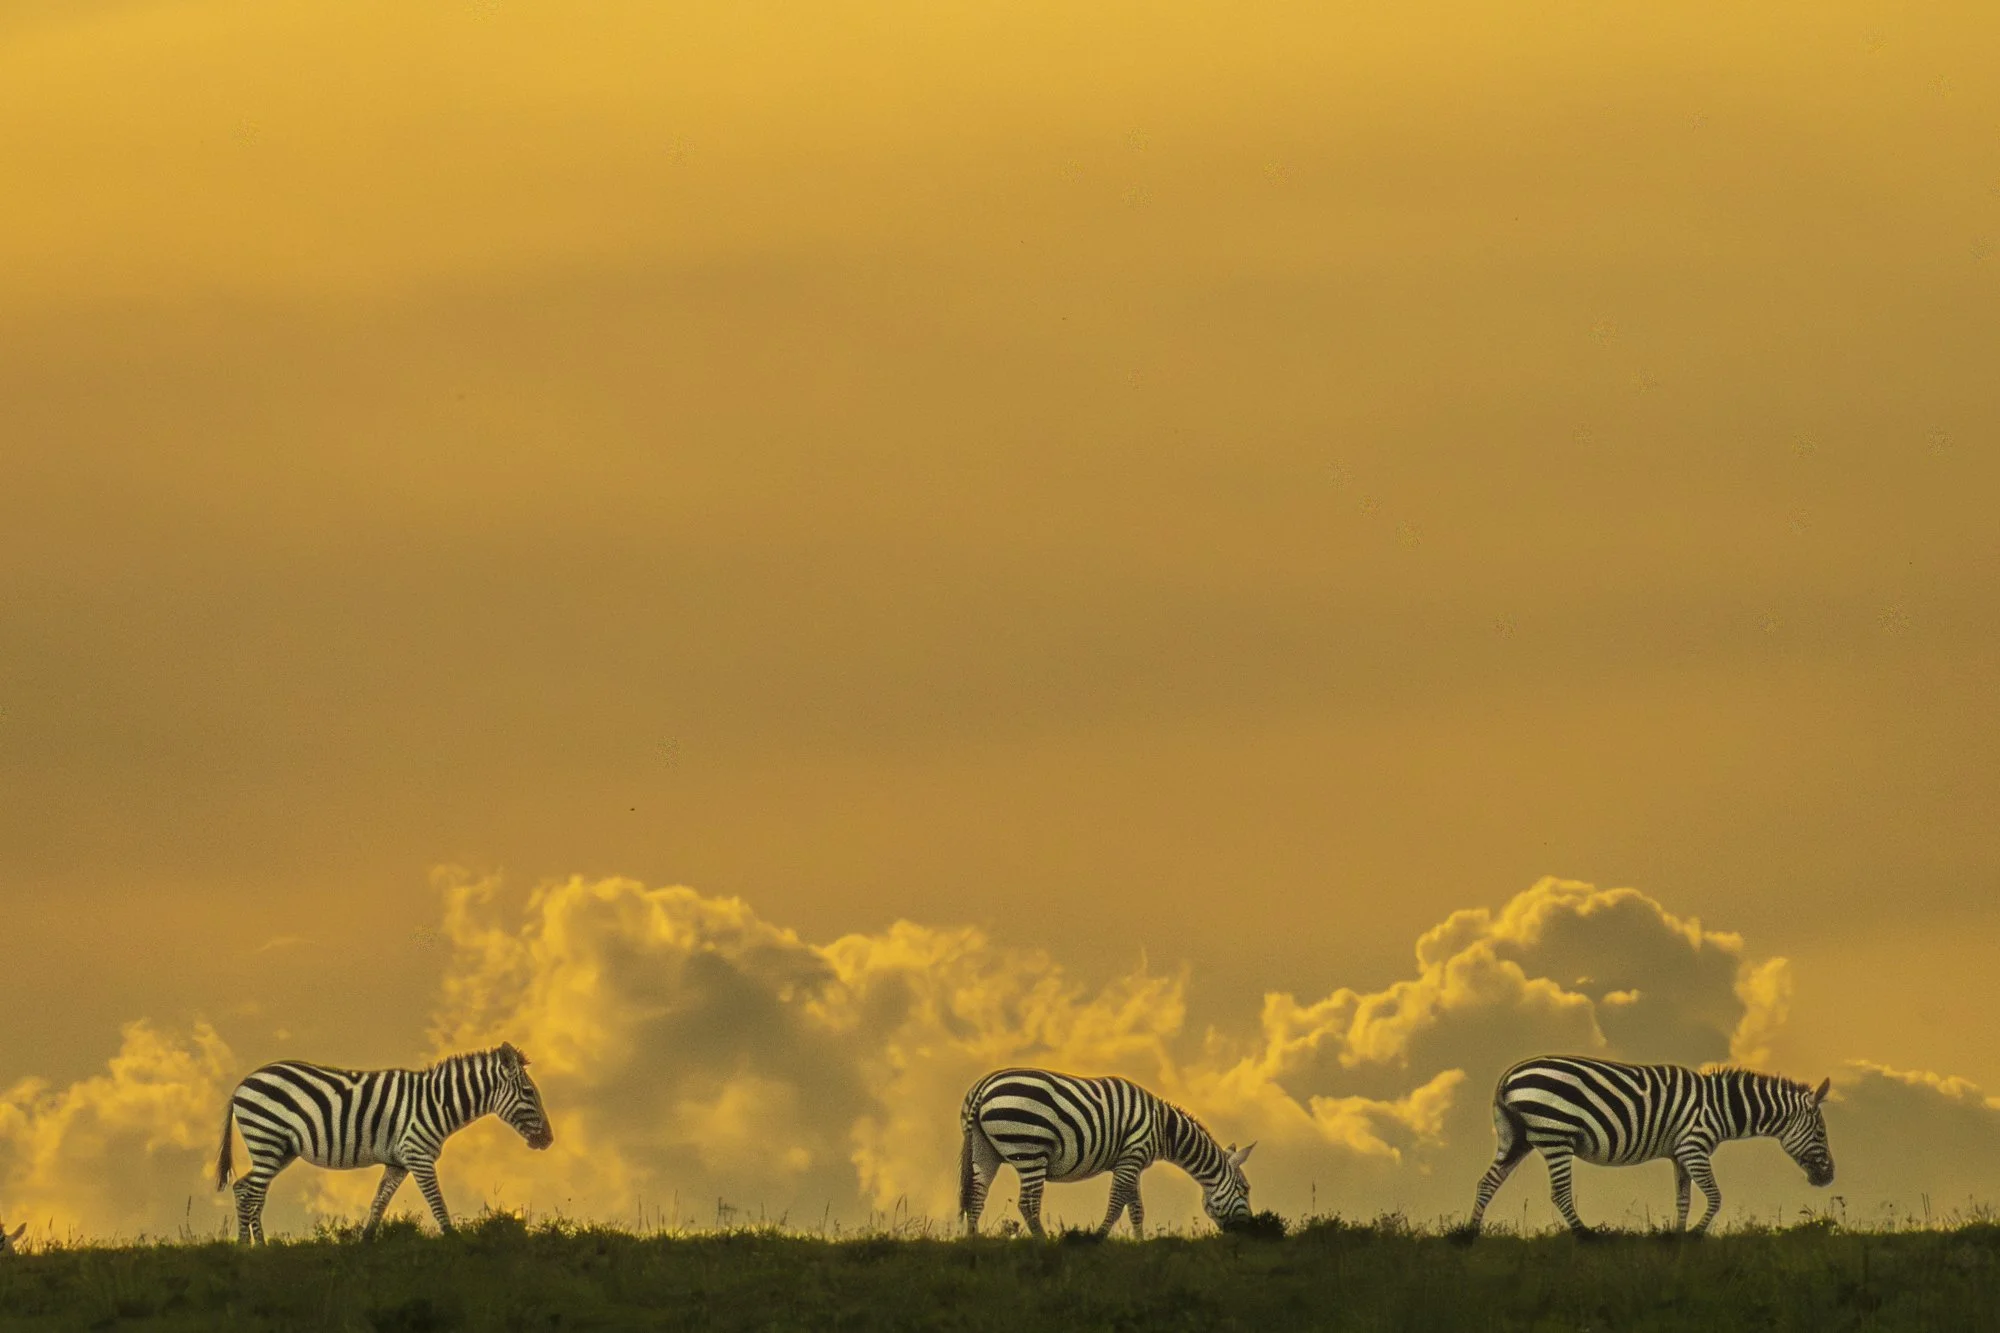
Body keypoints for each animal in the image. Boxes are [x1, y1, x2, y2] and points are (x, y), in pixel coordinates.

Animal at [213, 1042, 553, 1243]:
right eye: (528, 1092)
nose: (549, 1140)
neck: (437, 1103)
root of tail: (244, 1082)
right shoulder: (418, 1155)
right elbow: (437, 1203)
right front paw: (453, 1243)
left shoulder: (397, 1162)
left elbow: (379, 1203)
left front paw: (364, 1243)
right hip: (267, 1139)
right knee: (251, 1193)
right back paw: (253, 1249)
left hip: (279, 1150)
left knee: (245, 1189)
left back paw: (250, 1247)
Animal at [959, 1067, 1255, 1239]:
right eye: (1245, 1189)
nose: (1251, 1230)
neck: (1163, 1129)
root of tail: (983, 1086)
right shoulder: (1132, 1156)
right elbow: (1116, 1204)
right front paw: (1098, 1239)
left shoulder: (1132, 1161)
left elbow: (1136, 1208)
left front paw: (1140, 1244)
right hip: (1030, 1148)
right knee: (1028, 1202)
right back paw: (1043, 1243)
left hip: (984, 1149)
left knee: (976, 1195)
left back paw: (973, 1241)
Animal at [1464, 1055, 1833, 1236]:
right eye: (1820, 1132)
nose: (1829, 1177)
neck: (1721, 1107)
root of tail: (1508, 1076)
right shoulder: (1694, 1147)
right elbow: (1715, 1196)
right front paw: (1696, 1233)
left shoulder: (1681, 1153)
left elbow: (1683, 1198)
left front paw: (1678, 1236)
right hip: (1557, 1135)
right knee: (1560, 1193)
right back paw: (1587, 1236)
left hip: (1517, 1137)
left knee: (1487, 1182)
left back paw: (1469, 1235)